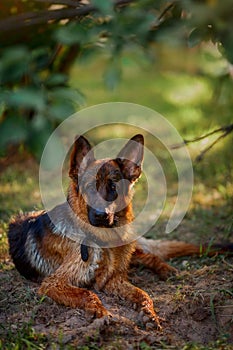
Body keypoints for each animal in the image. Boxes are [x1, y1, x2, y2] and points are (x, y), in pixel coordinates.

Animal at [7, 134, 231, 328]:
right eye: (90, 187)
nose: (101, 215)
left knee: (148, 256)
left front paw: (149, 313)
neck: (102, 240)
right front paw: (101, 312)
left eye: (113, 186)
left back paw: (166, 269)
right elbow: (88, 293)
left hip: (131, 247)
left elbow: (143, 294)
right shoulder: (54, 283)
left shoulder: (114, 280)